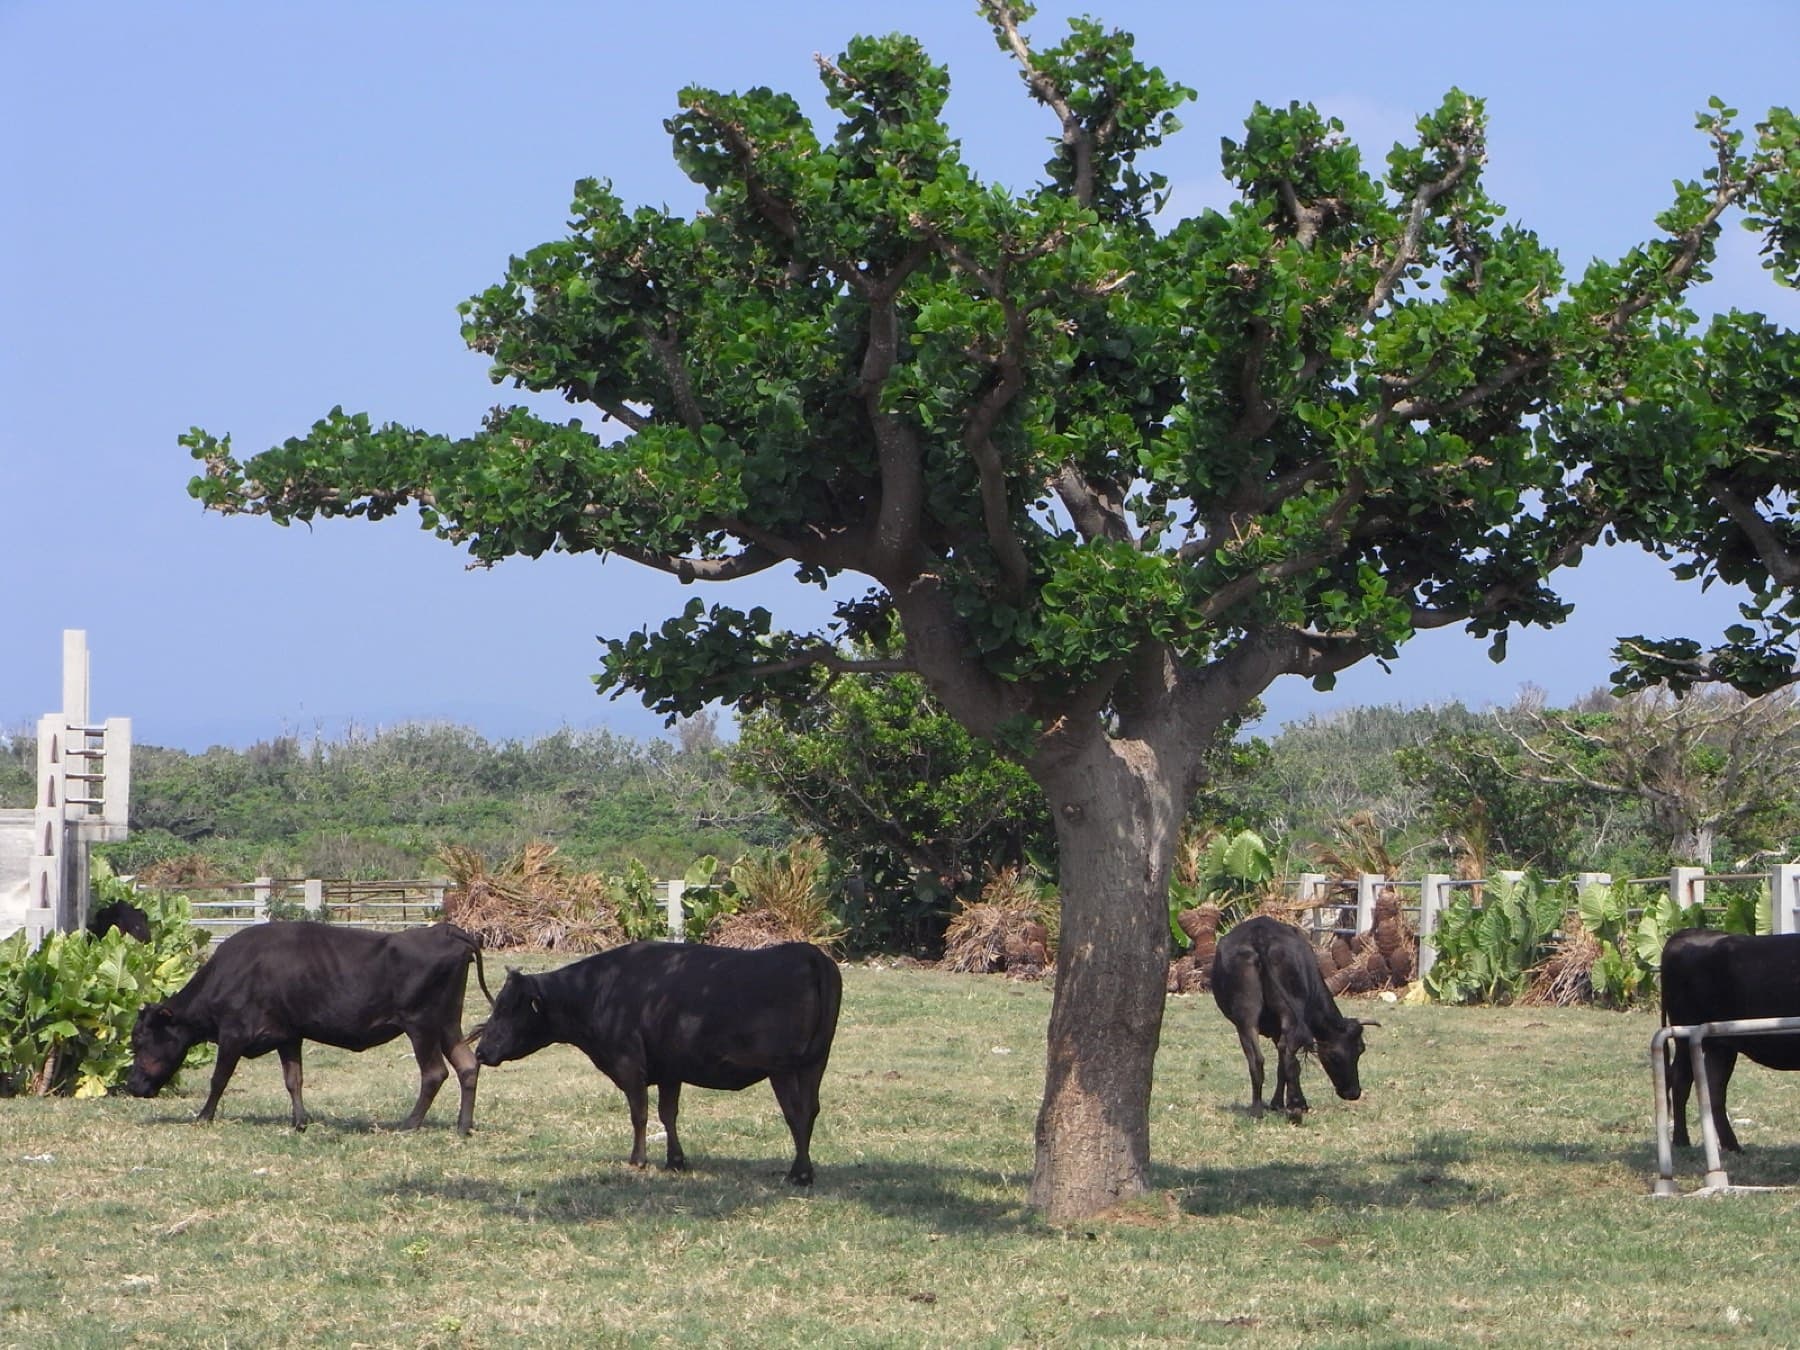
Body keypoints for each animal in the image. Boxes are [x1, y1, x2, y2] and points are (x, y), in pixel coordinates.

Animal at [127, 921, 491, 1134]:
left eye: (141, 1040)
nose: (132, 1085)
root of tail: (446, 929)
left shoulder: (233, 1034)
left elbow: (219, 1079)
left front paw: (204, 1116)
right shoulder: (288, 1035)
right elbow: (294, 1080)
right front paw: (300, 1122)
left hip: (421, 1024)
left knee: (434, 1073)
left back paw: (409, 1124)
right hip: (447, 1023)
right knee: (466, 1065)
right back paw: (463, 1126)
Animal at [474, 941, 842, 1185]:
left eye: (507, 1008)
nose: (480, 1051)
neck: (599, 990)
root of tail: (805, 952)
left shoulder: (628, 1064)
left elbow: (639, 1114)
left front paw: (638, 1160)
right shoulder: (669, 1069)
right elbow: (668, 1114)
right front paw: (675, 1160)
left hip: (783, 1067)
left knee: (796, 1113)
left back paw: (800, 1173)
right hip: (815, 1063)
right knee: (810, 1110)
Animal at [1211, 915, 1374, 1119]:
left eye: (1360, 1050)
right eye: (1334, 1057)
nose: (1353, 1093)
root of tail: (1260, 936)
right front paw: (1282, 1103)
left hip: (1245, 1017)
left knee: (1257, 1059)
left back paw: (1256, 1109)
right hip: (1288, 1013)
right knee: (1288, 1054)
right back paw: (1296, 1105)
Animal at [1661, 928, 1800, 1151]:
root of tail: (1686, 933)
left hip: (1720, 1047)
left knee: (1713, 1089)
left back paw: (1731, 1145)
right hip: (1685, 1036)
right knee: (1681, 1080)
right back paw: (1682, 1140)